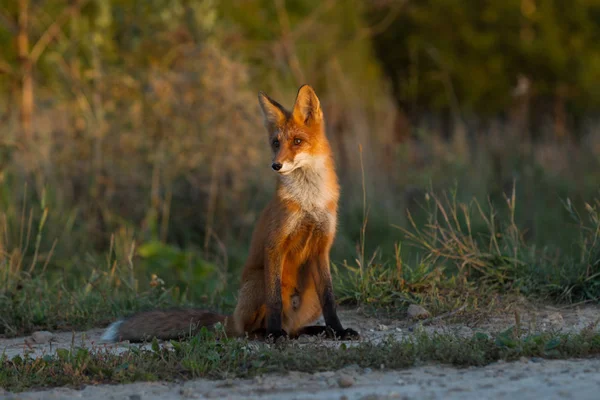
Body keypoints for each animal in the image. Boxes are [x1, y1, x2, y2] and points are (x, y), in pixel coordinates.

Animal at [101, 84, 358, 340]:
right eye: (276, 143)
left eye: (297, 141)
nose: (276, 165)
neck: (308, 202)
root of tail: (232, 318)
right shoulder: (275, 244)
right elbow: (274, 300)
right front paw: (275, 334)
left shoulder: (322, 247)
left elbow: (329, 300)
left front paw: (338, 330)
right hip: (257, 283)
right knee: (248, 329)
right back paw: (269, 332)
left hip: (309, 293)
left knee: (295, 327)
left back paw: (313, 330)